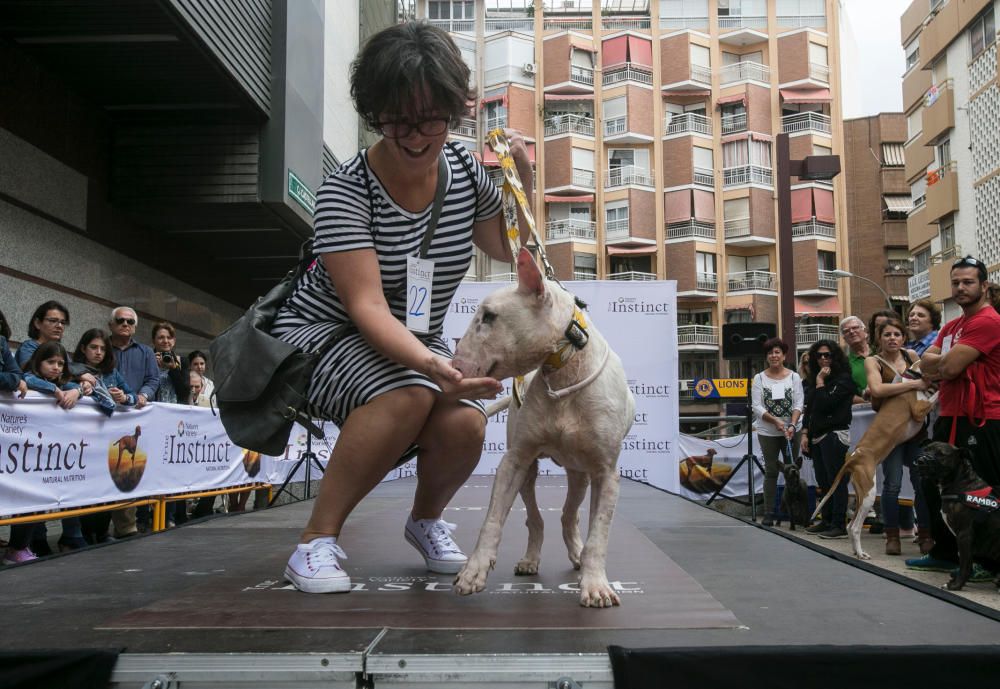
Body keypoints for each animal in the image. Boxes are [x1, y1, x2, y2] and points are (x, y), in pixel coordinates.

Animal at [452, 250, 632, 604]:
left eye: (489, 316)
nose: (454, 366)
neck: (563, 371)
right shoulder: (515, 460)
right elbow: (492, 519)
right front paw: (473, 571)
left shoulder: (606, 472)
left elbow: (598, 534)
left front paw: (596, 586)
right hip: (530, 471)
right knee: (535, 518)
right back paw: (530, 559)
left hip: (580, 474)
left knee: (569, 514)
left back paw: (577, 555)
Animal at [916, 444, 1000, 588]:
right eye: (925, 449)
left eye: (941, 454)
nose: (921, 460)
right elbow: (963, 561)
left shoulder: (964, 535)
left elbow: (965, 564)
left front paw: (956, 585)